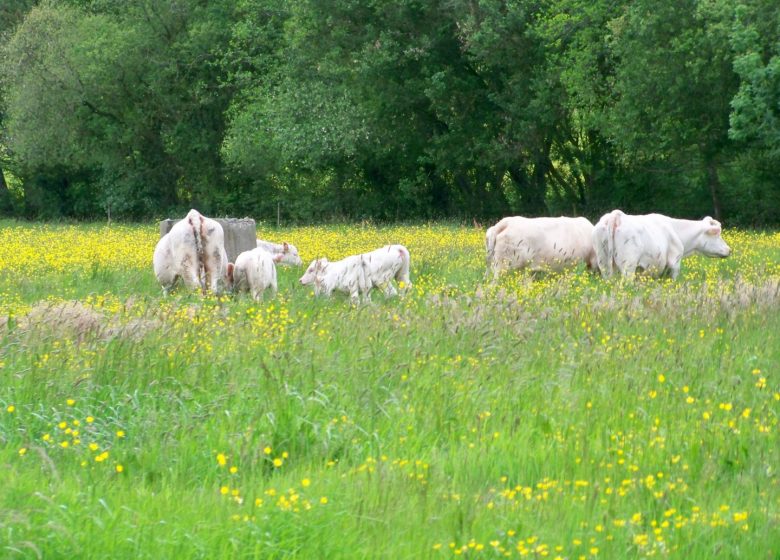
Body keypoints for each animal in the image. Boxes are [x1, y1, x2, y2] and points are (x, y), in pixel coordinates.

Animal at [592, 210, 732, 280]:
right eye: (717, 235)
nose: (729, 250)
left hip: (604, 262)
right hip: (628, 265)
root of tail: (617, 215)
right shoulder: (675, 262)